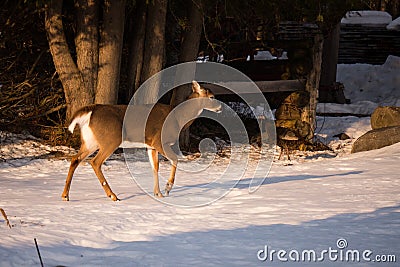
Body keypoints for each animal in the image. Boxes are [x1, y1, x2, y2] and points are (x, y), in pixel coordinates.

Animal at [64, 80, 223, 202]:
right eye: (212, 97)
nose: (220, 107)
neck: (178, 119)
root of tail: (91, 111)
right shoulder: (159, 141)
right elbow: (175, 160)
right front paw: (167, 188)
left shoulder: (151, 146)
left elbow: (155, 167)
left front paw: (158, 193)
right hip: (111, 139)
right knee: (95, 162)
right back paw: (112, 196)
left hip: (90, 141)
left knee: (75, 159)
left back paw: (65, 195)